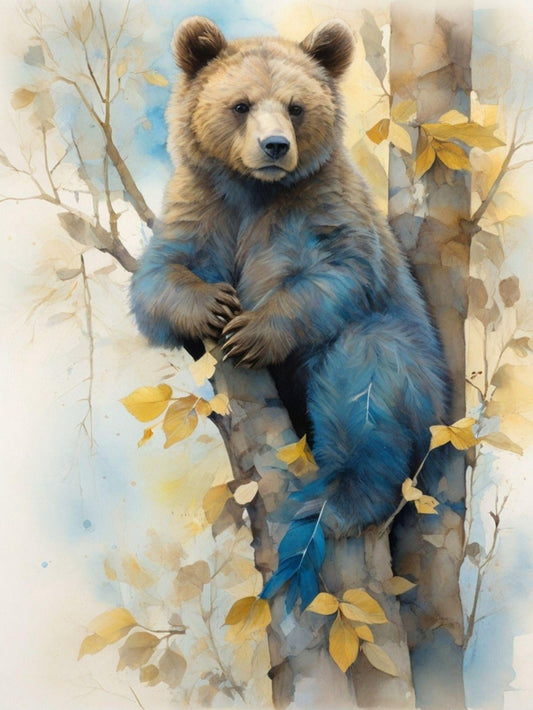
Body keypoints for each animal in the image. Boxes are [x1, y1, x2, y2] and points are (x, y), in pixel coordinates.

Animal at [130, 16, 448, 537]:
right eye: (241, 104)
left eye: (296, 107)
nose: (275, 146)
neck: (255, 189)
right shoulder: (202, 203)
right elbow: (158, 275)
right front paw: (212, 306)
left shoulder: (321, 205)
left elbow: (340, 273)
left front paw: (252, 333)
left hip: (420, 384)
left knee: (367, 375)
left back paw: (342, 497)